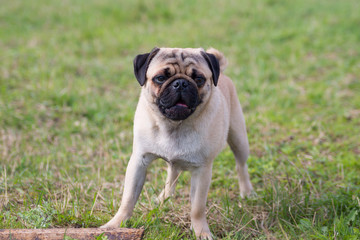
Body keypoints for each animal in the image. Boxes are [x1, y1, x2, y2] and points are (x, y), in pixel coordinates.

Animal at [101, 47, 253, 239]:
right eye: (160, 78)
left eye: (199, 79)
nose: (181, 83)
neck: (174, 126)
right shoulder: (138, 162)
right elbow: (128, 199)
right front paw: (114, 225)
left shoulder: (202, 171)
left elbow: (197, 208)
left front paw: (201, 232)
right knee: (172, 172)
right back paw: (164, 198)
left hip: (239, 139)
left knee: (241, 166)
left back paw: (247, 192)